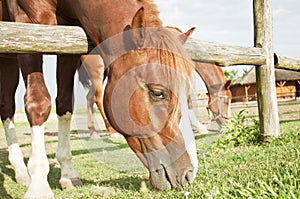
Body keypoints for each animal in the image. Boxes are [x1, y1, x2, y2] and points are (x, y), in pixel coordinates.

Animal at [1, 0, 199, 197]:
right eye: (158, 92)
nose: (188, 174)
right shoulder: (26, 24)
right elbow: (38, 102)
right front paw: (39, 186)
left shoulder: (68, 45)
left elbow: (64, 105)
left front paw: (68, 174)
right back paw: (22, 170)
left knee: (7, 106)